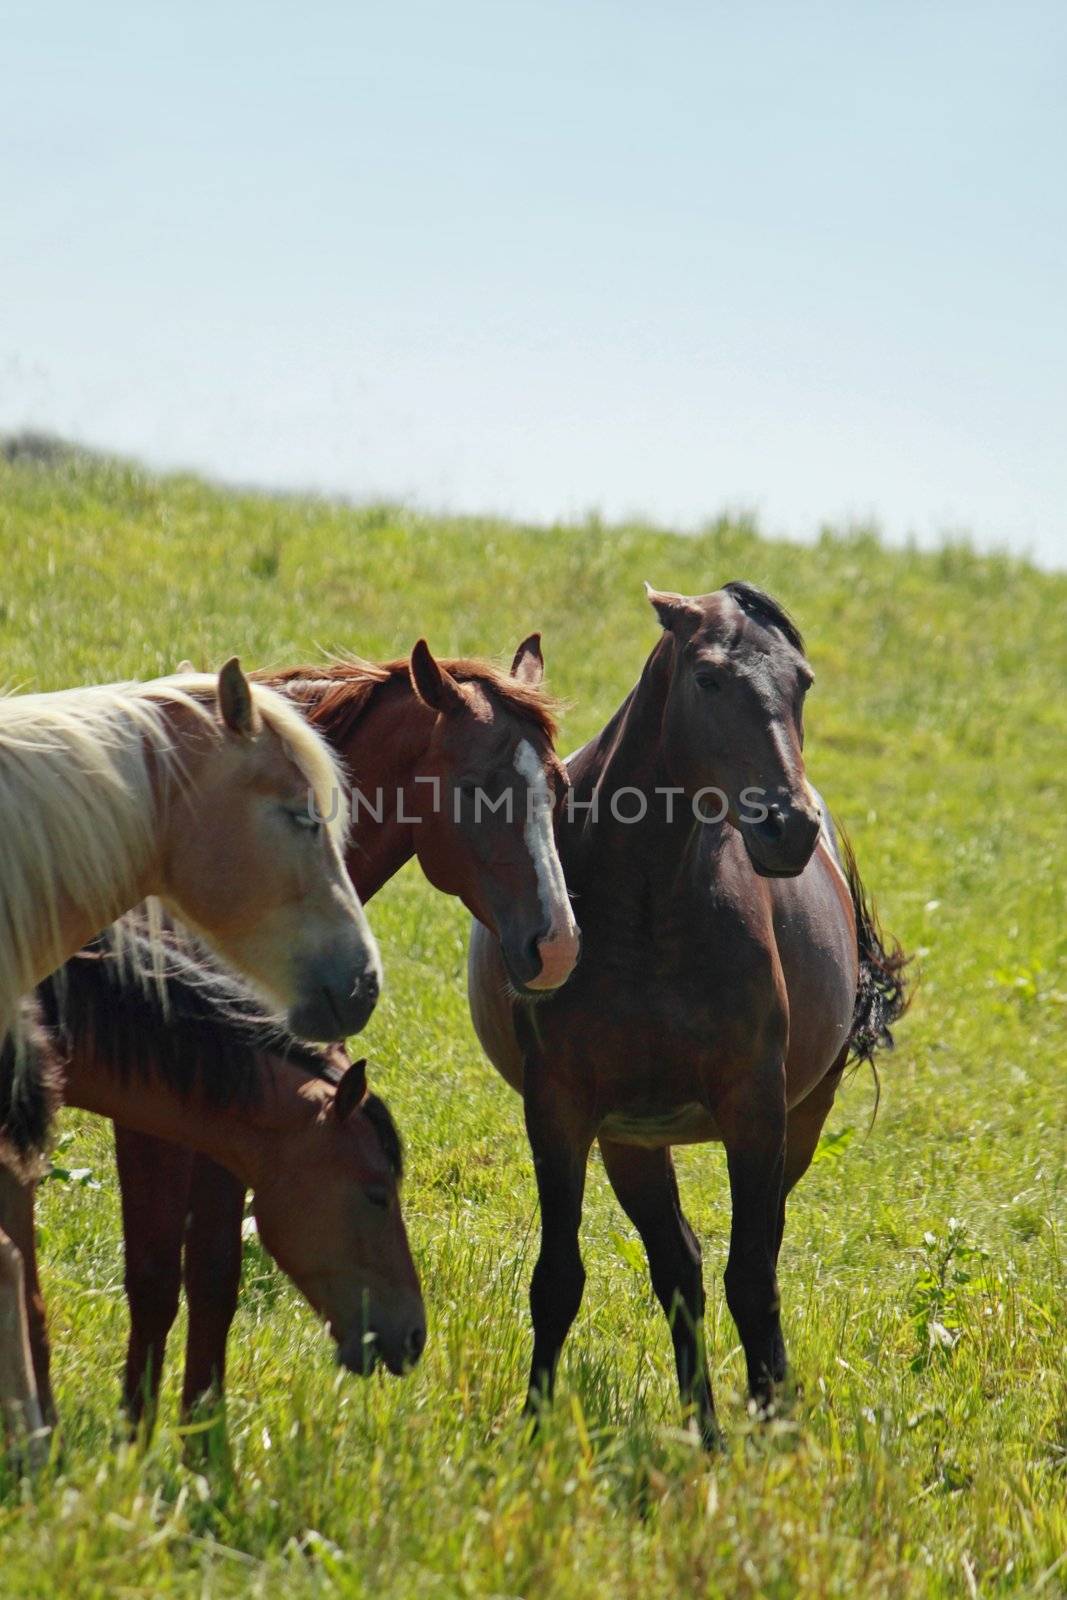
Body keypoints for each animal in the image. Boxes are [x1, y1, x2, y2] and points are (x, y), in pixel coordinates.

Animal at [99, 636, 579, 1427]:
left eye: (561, 789)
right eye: (475, 789)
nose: (558, 946)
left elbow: (211, 1283)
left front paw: (199, 1429)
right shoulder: (156, 1123)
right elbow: (157, 1283)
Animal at [470, 582, 908, 1446]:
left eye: (802, 682)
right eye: (707, 678)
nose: (787, 827)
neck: (645, 902)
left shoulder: (755, 1108)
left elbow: (754, 1276)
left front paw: (775, 1425)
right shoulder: (560, 1106)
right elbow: (558, 1277)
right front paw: (533, 1427)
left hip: (796, 1120)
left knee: (736, 1255)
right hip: (630, 1141)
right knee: (679, 1266)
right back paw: (699, 1424)